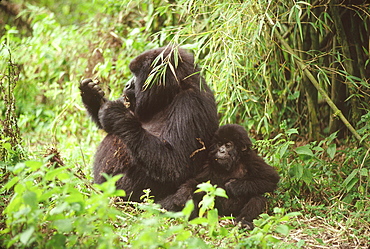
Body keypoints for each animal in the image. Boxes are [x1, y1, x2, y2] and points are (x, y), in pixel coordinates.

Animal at [79, 45, 218, 202]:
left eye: (136, 74)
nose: (127, 85)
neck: (174, 90)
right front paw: (91, 95)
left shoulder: (190, 103)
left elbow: (175, 165)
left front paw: (115, 113)